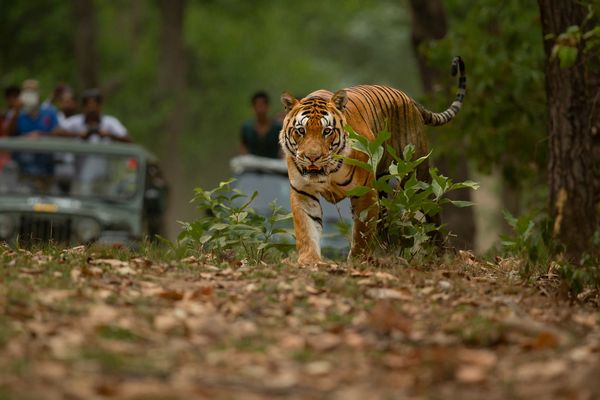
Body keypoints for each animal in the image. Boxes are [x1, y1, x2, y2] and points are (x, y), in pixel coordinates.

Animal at [278, 55, 466, 262]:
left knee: (432, 212)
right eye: (300, 131)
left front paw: (357, 261)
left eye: (326, 131)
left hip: (417, 174)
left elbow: (362, 232)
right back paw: (385, 254)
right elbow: (306, 228)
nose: (312, 157)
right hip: (383, 183)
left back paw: (441, 255)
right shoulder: (303, 191)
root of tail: (409, 99)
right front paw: (309, 260)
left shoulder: (365, 192)